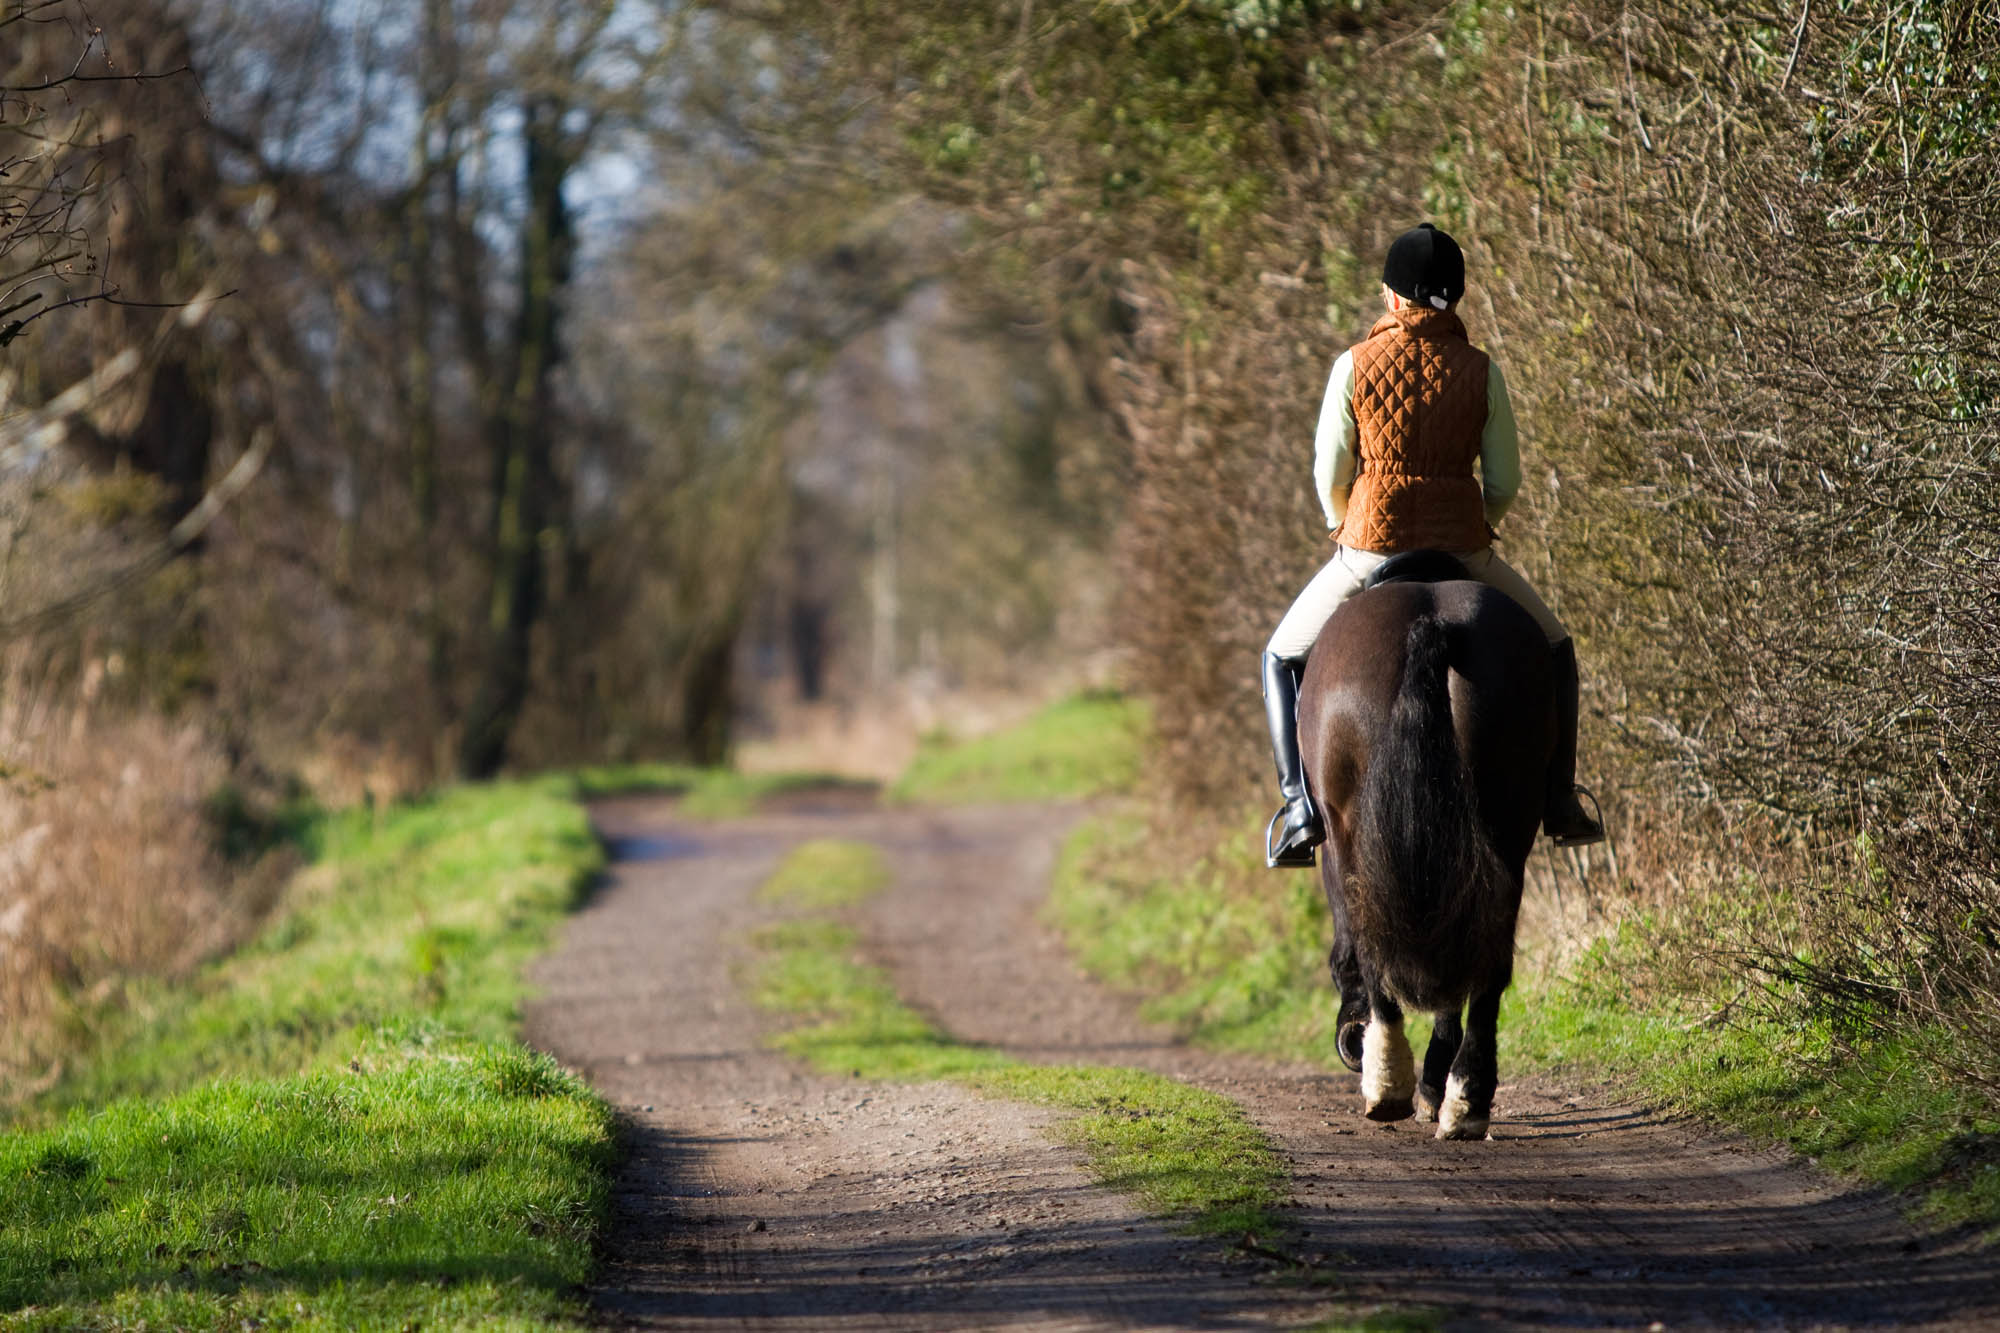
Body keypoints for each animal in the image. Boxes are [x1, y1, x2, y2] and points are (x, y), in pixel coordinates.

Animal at [1296, 544, 1560, 1136]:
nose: (1346, 1042)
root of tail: (1430, 623)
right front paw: (1437, 1084)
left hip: (1356, 837)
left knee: (1374, 943)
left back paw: (1388, 1081)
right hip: (1507, 828)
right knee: (1485, 957)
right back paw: (1465, 1100)